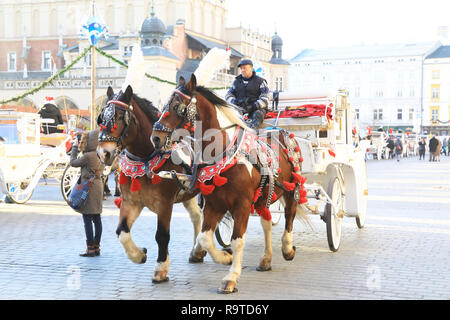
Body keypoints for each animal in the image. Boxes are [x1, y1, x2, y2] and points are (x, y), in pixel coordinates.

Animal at [97, 85, 205, 282]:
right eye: (101, 117)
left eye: (119, 118)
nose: (103, 153)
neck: (146, 159)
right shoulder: (131, 202)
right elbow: (122, 232)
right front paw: (139, 254)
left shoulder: (165, 204)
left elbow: (162, 235)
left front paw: (161, 267)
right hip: (188, 193)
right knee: (196, 216)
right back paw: (197, 251)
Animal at [151, 74, 310, 292]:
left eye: (177, 106)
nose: (155, 138)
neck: (224, 153)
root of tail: (282, 132)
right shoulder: (214, 204)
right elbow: (205, 238)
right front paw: (225, 258)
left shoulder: (241, 204)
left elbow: (237, 241)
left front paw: (231, 277)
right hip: (264, 196)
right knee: (267, 222)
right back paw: (266, 259)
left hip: (292, 188)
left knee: (290, 216)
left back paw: (287, 249)